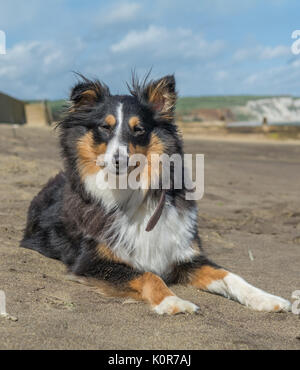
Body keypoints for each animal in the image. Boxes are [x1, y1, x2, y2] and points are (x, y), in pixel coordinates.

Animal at [20, 73, 290, 316]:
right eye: (105, 127)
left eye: (138, 129)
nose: (118, 160)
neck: (128, 190)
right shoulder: (91, 262)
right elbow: (148, 275)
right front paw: (173, 302)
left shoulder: (184, 254)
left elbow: (230, 275)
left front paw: (266, 298)